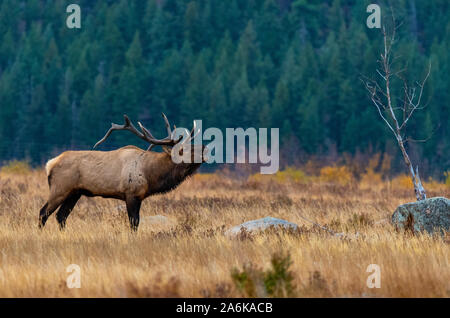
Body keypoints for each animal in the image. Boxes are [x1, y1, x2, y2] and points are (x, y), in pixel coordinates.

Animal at [39, 114, 207, 231]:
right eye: (184, 150)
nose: (205, 148)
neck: (151, 174)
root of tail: (49, 164)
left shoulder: (139, 196)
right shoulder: (131, 194)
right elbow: (134, 223)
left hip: (75, 193)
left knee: (61, 216)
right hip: (60, 188)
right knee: (43, 212)